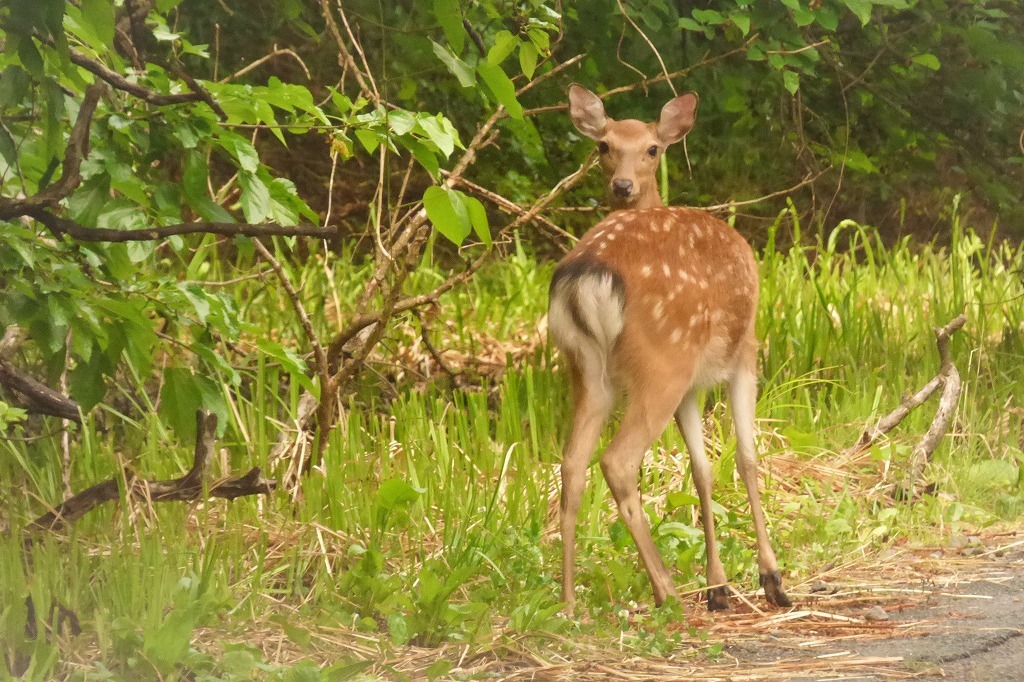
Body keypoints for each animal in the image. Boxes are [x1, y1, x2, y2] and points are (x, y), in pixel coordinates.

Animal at [552, 84, 790, 610]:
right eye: (604, 146)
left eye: (651, 149)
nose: (621, 186)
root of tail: (587, 276)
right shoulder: (744, 354)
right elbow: (746, 458)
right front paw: (771, 578)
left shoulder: (694, 386)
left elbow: (702, 469)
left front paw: (719, 585)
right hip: (662, 360)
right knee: (617, 462)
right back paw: (667, 591)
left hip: (585, 369)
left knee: (572, 464)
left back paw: (570, 601)